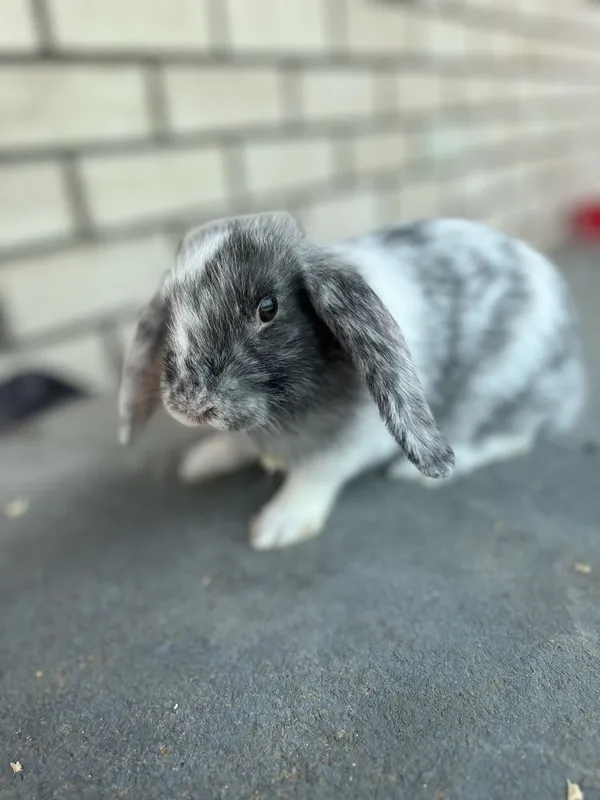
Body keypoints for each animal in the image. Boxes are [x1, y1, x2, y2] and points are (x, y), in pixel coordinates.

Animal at [118, 211, 585, 550]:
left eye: (268, 308)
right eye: (171, 310)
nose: (190, 406)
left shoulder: (355, 440)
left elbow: (318, 472)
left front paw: (279, 525)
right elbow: (236, 444)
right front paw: (203, 461)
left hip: (499, 389)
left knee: (513, 436)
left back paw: (417, 474)